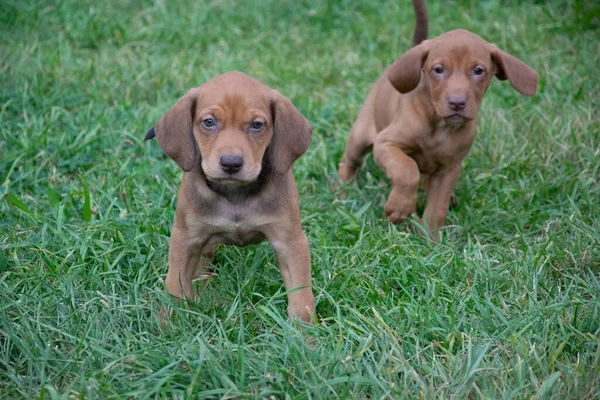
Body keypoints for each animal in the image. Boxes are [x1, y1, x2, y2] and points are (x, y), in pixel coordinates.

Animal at [145, 71, 314, 322]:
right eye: (209, 122)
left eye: (257, 125)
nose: (231, 163)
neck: (235, 194)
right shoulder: (186, 238)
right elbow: (175, 284)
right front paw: (169, 321)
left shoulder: (291, 242)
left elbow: (302, 297)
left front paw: (305, 331)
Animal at [338, 0, 540, 238]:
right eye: (438, 69)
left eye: (478, 71)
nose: (457, 102)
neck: (440, 126)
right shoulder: (386, 143)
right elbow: (408, 170)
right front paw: (399, 207)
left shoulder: (450, 169)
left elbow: (437, 206)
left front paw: (430, 238)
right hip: (360, 136)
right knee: (350, 161)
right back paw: (342, 190)